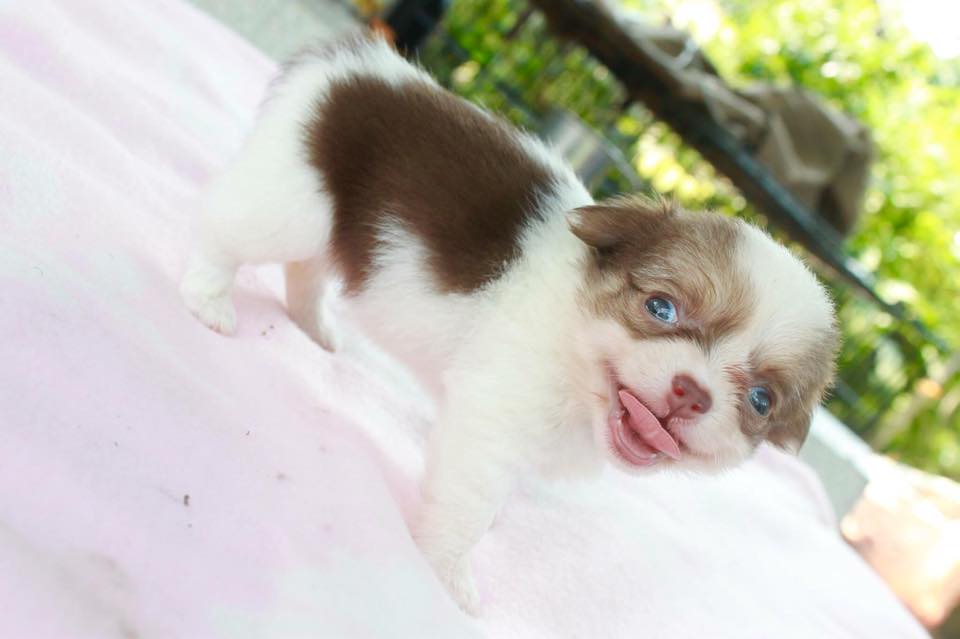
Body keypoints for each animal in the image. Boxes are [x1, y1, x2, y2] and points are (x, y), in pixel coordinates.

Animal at [180, 33, 839, 614]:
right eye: (661, 308)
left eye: (760, 400)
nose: (690, 391)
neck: (577, 360)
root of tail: (346, 65)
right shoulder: (493, 420)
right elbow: (466, 507)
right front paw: (446, 576)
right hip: (293, 201)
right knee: (226, 227)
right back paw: (208, 299)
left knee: (310, 266)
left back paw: (310, 322)